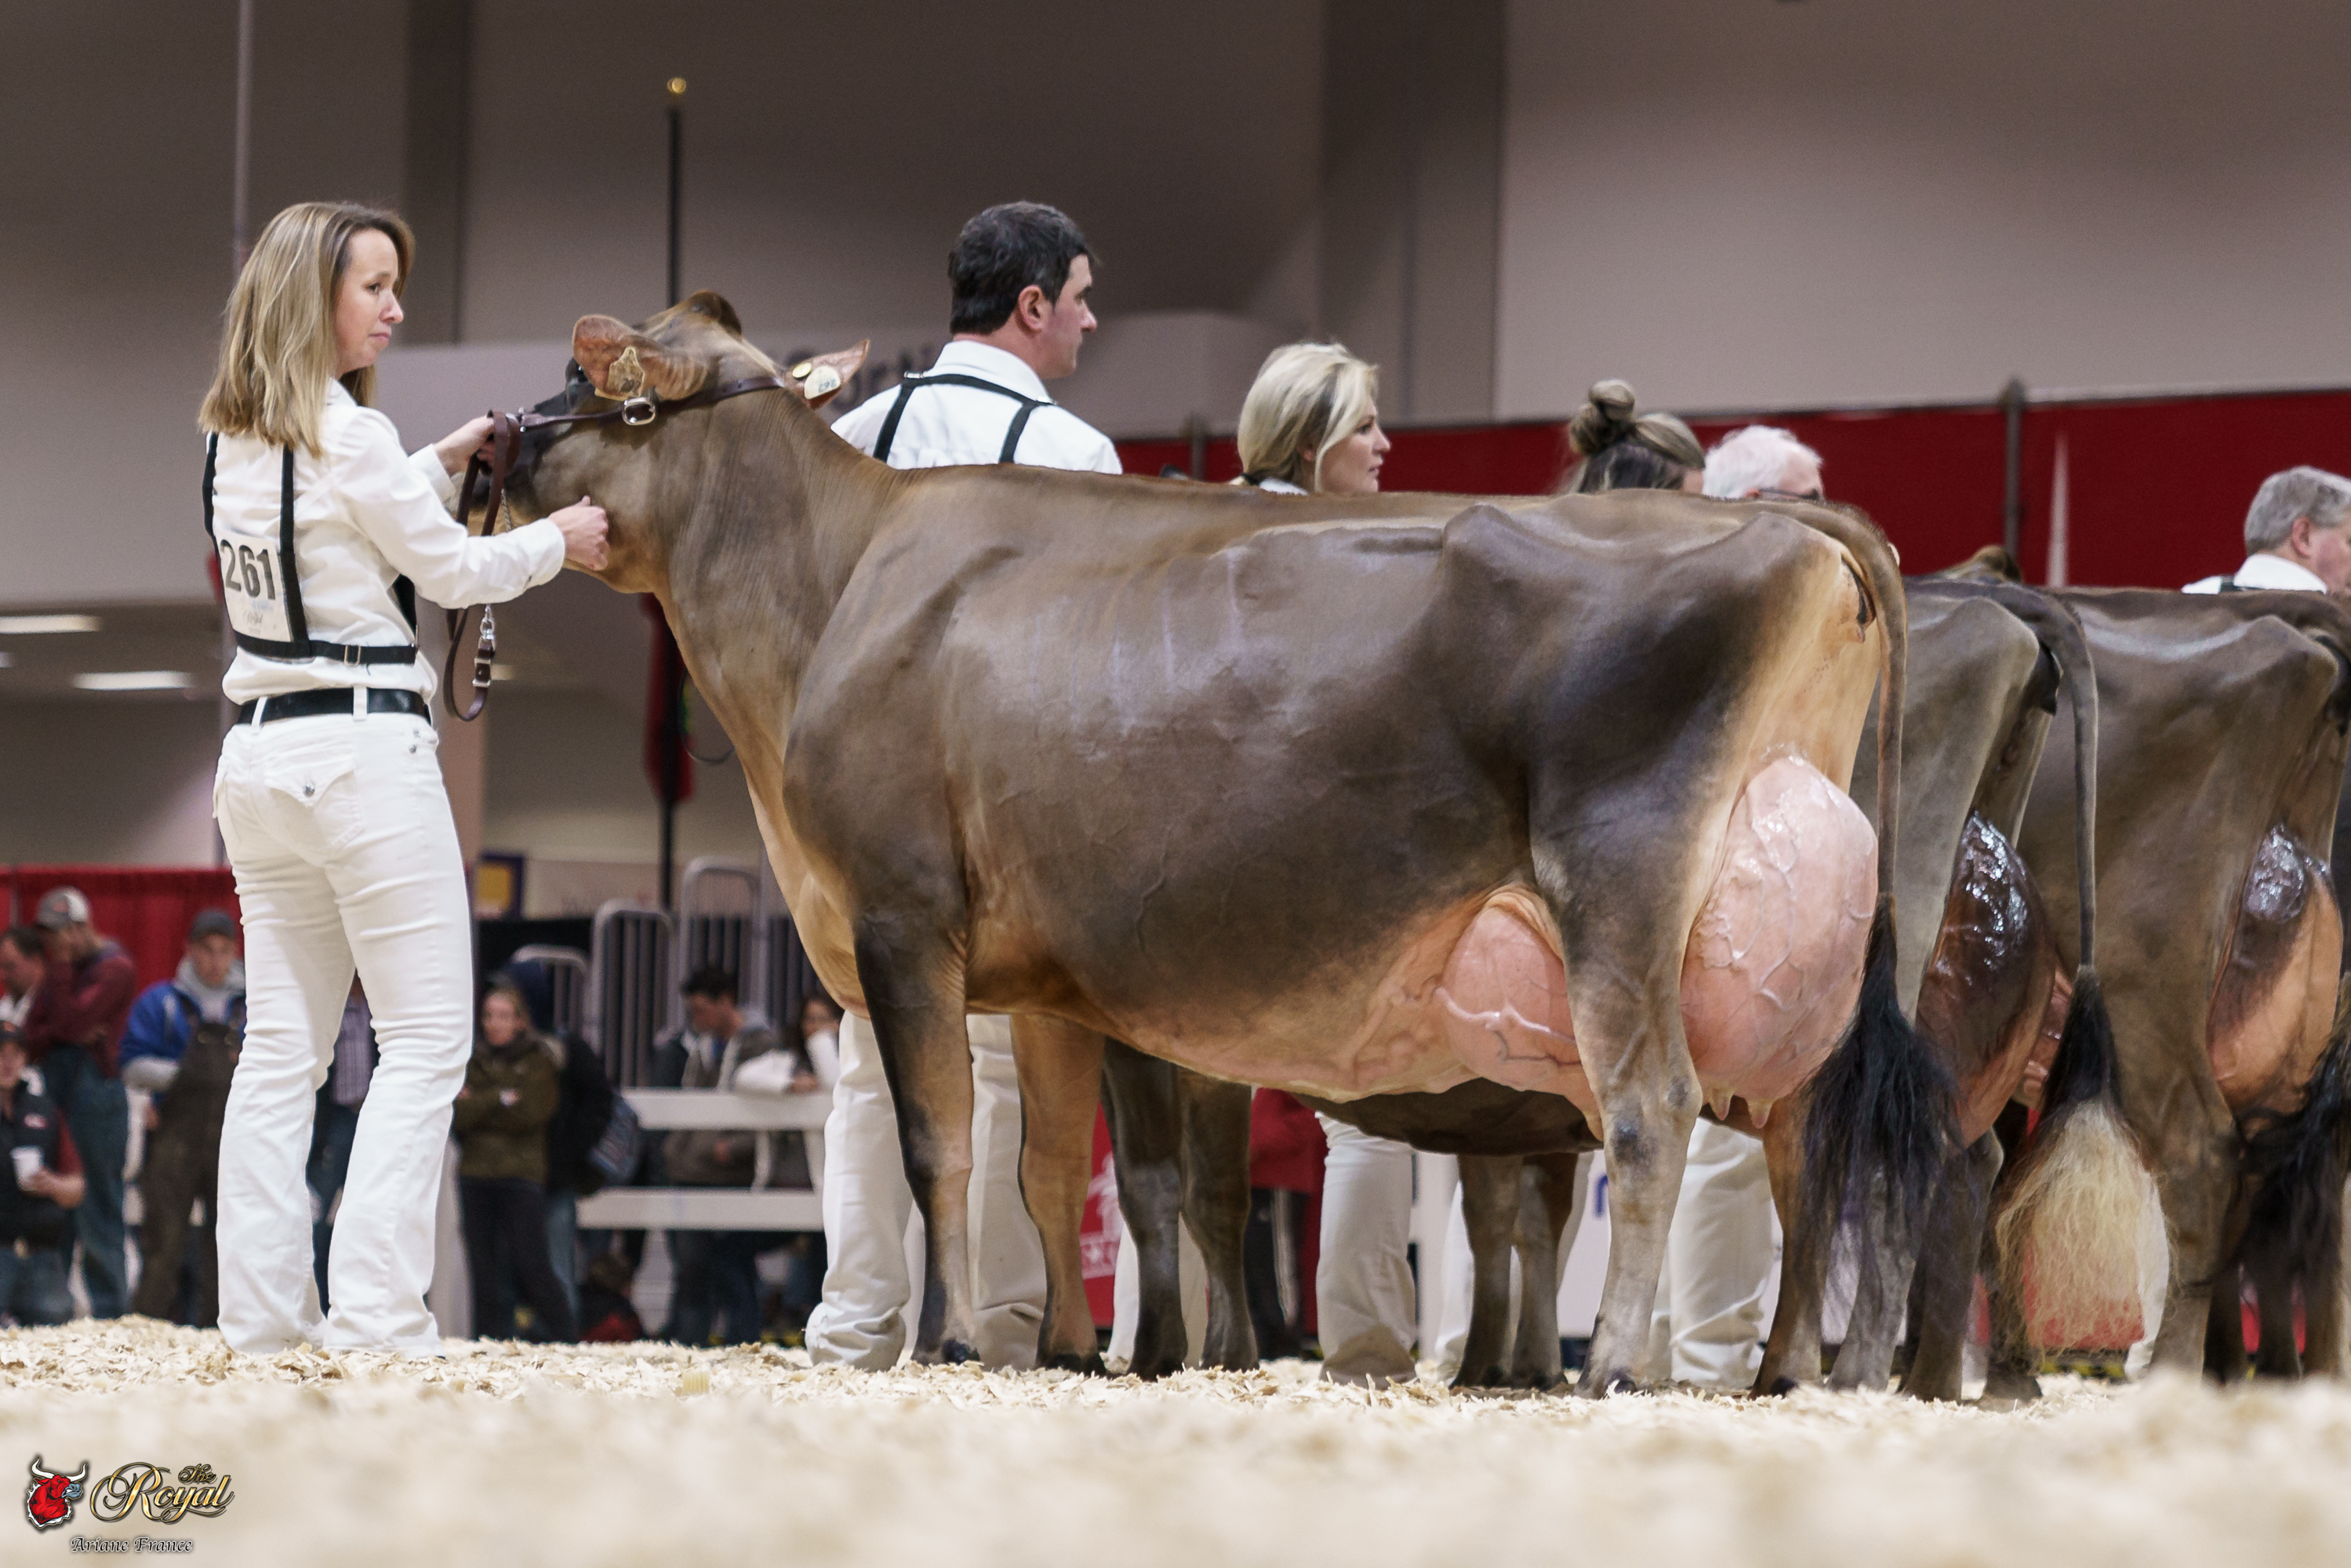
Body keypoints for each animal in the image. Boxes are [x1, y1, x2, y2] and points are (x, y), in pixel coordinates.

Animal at [501, 293, 1950, 1396]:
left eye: (581, 379)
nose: (487, 452)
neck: (831, 589)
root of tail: (1781, 523)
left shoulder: (901, 922)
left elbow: (941, 1149)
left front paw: (951, 1341)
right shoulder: (1045, 980)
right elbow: (1050, 1167)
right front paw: (1067, 1350)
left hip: (1624, 883)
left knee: (1653, 1112)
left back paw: (1618, 1370)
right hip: (1784, 935)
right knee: (1799, 1140)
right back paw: (1784, 1371)